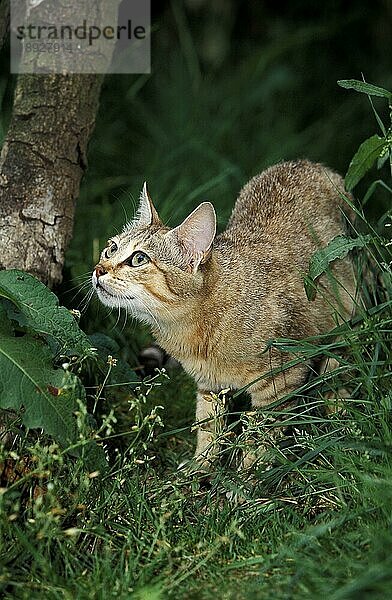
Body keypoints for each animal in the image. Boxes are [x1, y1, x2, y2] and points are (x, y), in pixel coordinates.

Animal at [92, 159, 356, 468]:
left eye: (138, 259)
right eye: (111, 248)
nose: (98, 269)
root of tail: (307, 162)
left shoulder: (280, 381)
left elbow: (260, 436)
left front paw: (249, 475)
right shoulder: (209, 386)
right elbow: (207, 426)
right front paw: (200, 468)